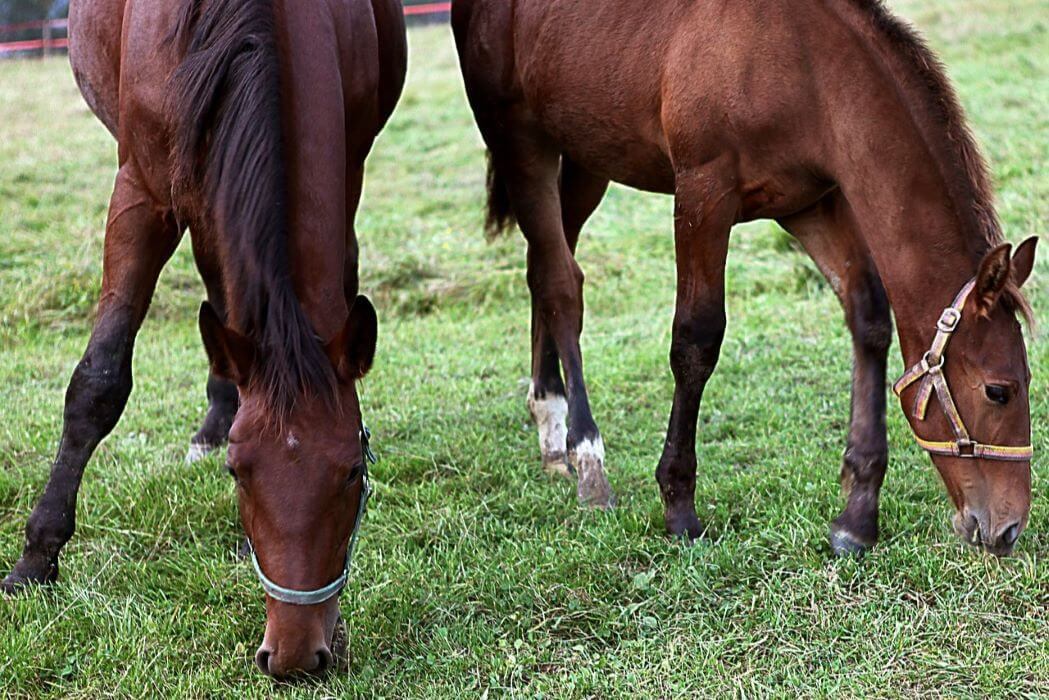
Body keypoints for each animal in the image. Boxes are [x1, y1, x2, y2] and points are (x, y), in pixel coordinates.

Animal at [1, 0, 404, 680]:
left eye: (353, 472)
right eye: (238, 473)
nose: (295, 654)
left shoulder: (348, 166)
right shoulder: (141, 193)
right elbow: (98, 382)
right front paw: (36, 559)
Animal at [455, 0, 1036, 558]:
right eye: (998, 391)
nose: (1009, 529)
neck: (806, 65)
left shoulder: (810, 203)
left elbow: (868, 316)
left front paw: (857, 516)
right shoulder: (703, 194)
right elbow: (696, 339)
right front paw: (679, 506)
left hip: (585, 154)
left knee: (546, 266)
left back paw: (551, 427)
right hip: (521, 141)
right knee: (560, 283)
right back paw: (585, 455)